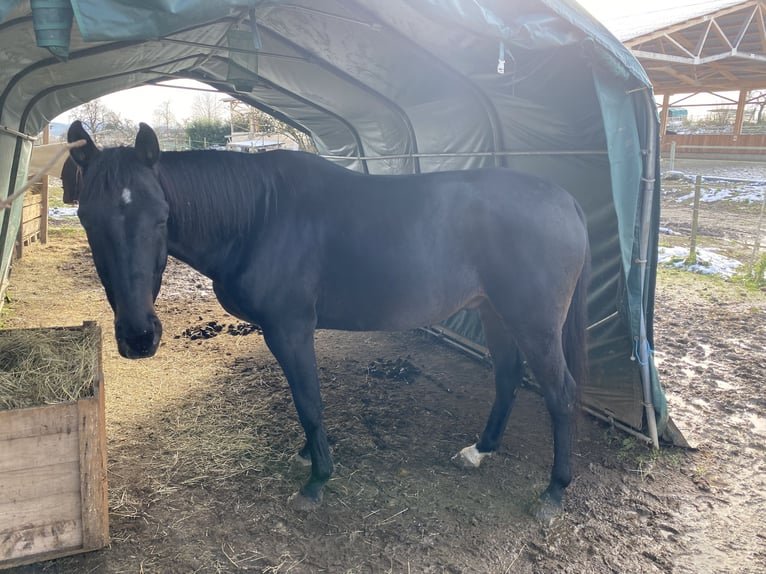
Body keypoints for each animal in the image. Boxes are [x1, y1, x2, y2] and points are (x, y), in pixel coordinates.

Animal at [67, 122, 592, 528]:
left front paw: (317, 480)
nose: (139, 336)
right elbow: (307, 401)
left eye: (160, 218)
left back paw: (554, 493)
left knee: (560, 392)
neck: (260, 216)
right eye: (88, 220)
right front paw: (310, 456)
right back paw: (480, 451)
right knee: (507, 376)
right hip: (493, 311)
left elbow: (309, 402)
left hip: (533, 322)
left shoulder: (290, 330)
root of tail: (567, 201)